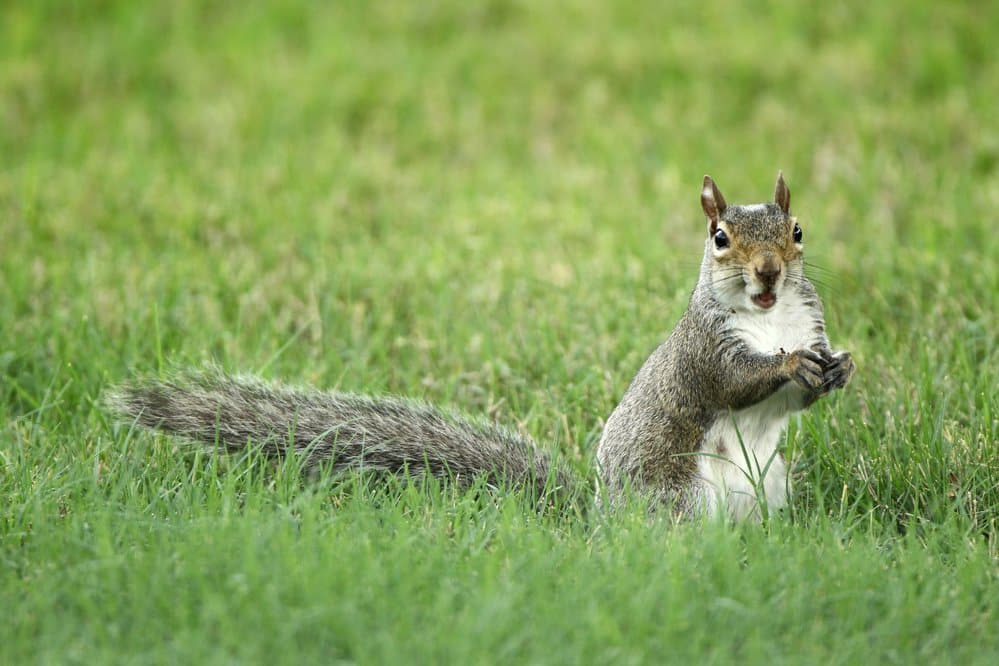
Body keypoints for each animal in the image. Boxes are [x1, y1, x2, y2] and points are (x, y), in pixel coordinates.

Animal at [113, 171, 856, 520]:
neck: (766, 319)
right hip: (673, 496)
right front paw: (791, 365)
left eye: (796, 230)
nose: (768, 274)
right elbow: (736, 383)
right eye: (720, 239)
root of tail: (598, 521)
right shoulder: (706, 351)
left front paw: (840, 366)